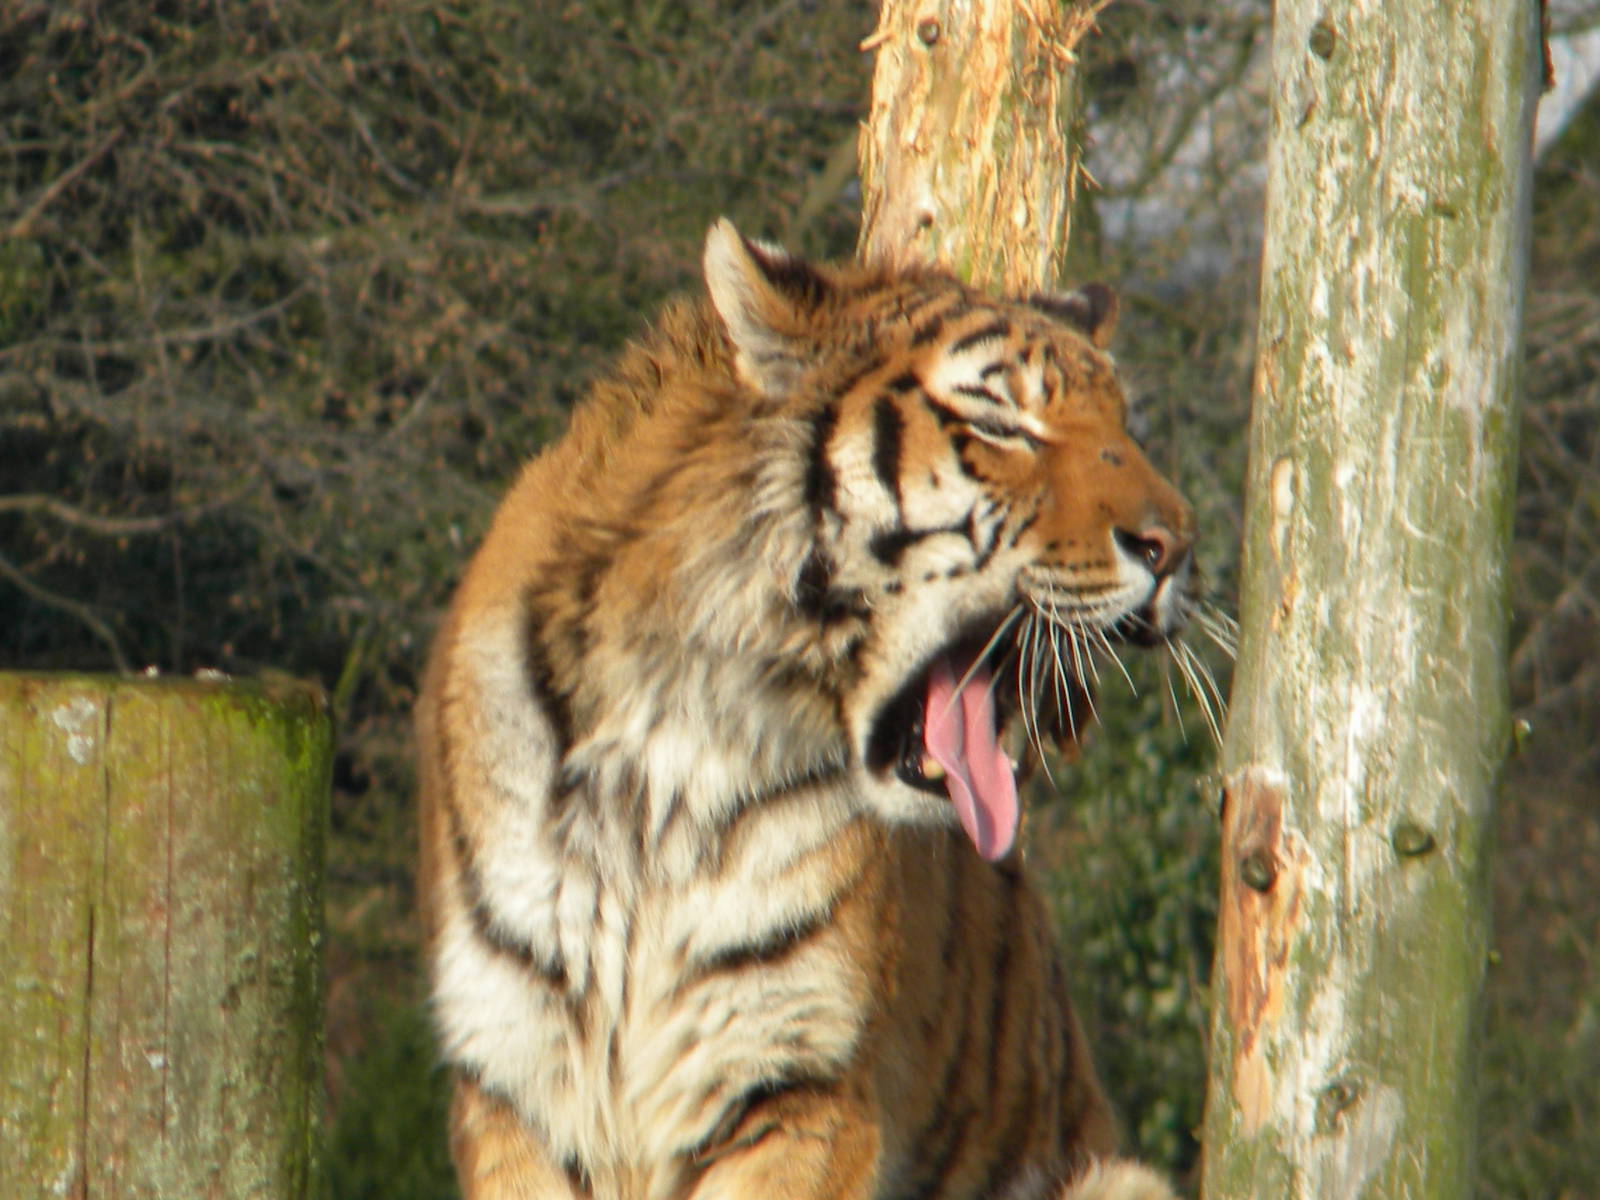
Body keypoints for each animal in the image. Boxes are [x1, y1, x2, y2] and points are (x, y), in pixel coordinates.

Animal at [416, 219, 1196, 1200]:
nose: (1176, 547)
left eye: (1123, 426)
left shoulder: (797, 1083)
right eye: (1000, 423)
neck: (665, 735)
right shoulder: (514, 1079)